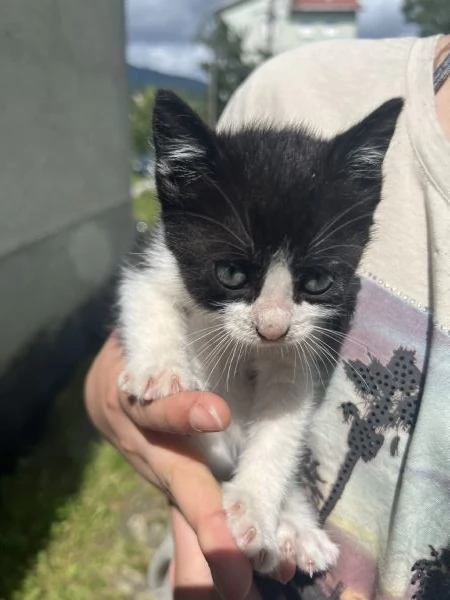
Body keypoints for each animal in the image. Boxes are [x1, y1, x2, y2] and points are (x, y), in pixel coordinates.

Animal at [118, 92, 402, 576]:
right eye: (231, 274)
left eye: (318, 281)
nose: (271, 328)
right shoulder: (157, 256)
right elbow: (143, 294)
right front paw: (162, 369)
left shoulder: (301, 347)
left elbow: (283, 421)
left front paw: (255, 509)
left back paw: (299, 528)